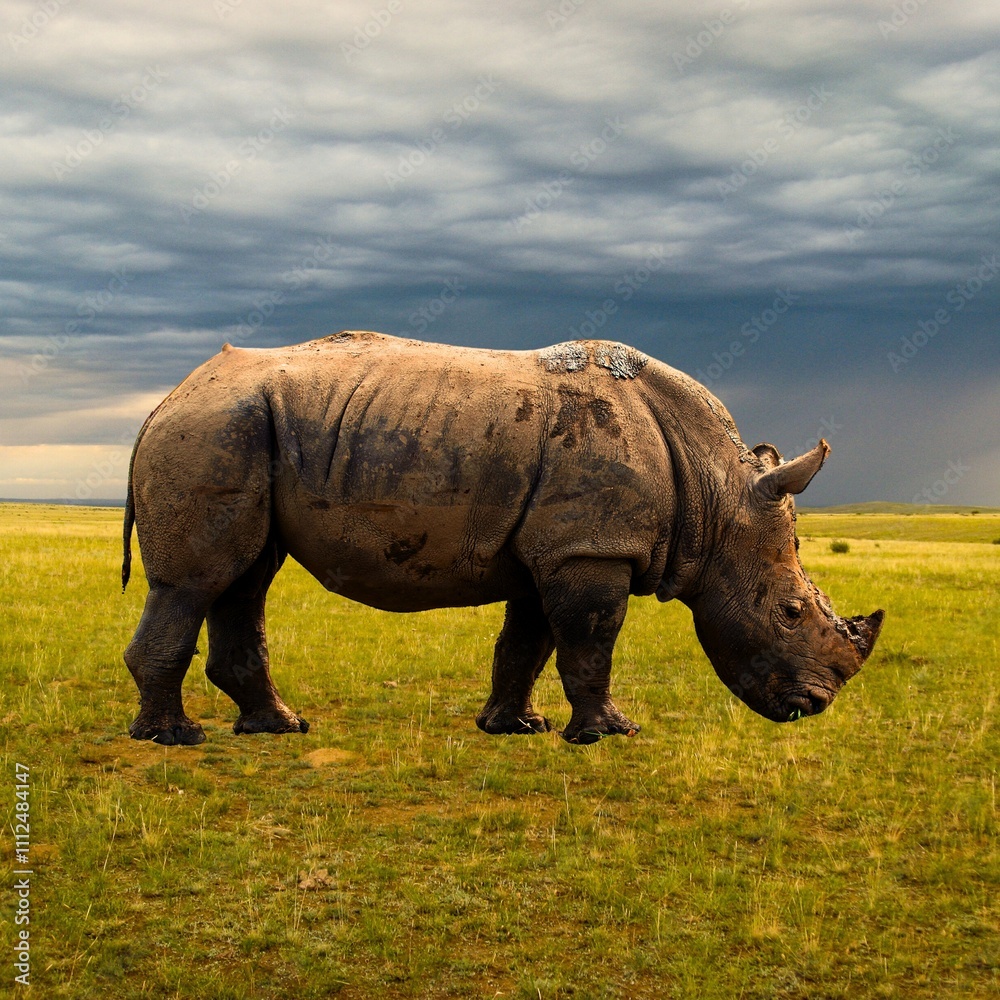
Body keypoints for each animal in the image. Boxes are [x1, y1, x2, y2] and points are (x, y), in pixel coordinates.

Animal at [121, 332, 883, 745]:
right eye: (788, 612)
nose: (814, 707)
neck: (717, 493)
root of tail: (167, 397)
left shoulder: (557, 548)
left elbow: (530, 643)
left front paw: (515, 728)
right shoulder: (589, 548)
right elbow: (590, 641)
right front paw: (612, 734)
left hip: (241, 427)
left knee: (245, 577)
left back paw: (279, 727)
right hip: (215, 428)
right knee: (196, 583)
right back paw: (175, 739)